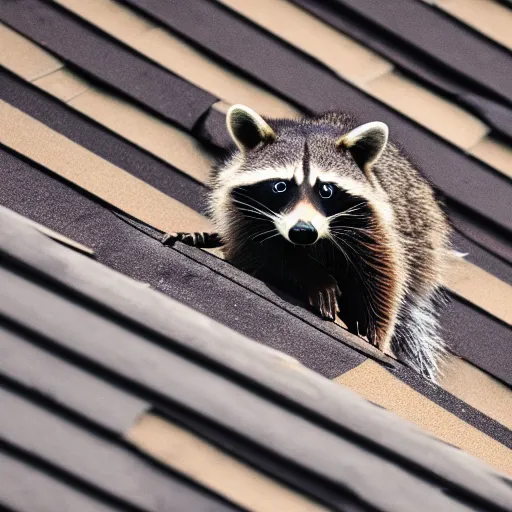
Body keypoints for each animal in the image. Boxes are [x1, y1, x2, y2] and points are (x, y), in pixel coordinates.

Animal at [172, 104, 452, 378]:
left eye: (326, 190)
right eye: (280, 186)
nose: (303, 231)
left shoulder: (373, 227)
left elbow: (380, 283)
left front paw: (373, 334)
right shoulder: (242, 215)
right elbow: (262, 258)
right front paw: (314, 279)